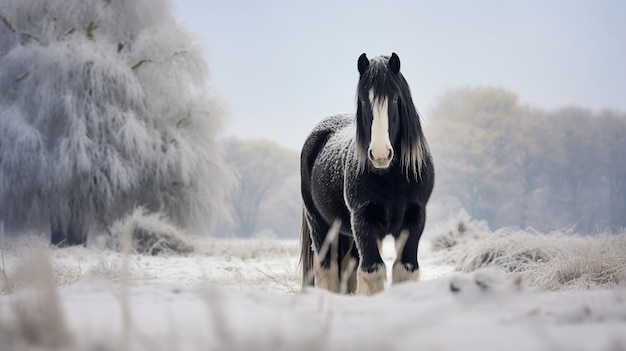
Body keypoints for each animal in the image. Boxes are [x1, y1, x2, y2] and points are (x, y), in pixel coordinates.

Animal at [298, 51, 434, 294]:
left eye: (395, 99)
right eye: (362, 100)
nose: (380, 154)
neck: (393, 179)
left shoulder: (415, 218)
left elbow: (405, 269)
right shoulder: (363, 220)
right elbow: (372, 271)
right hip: (320, 225)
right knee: (326, 268)